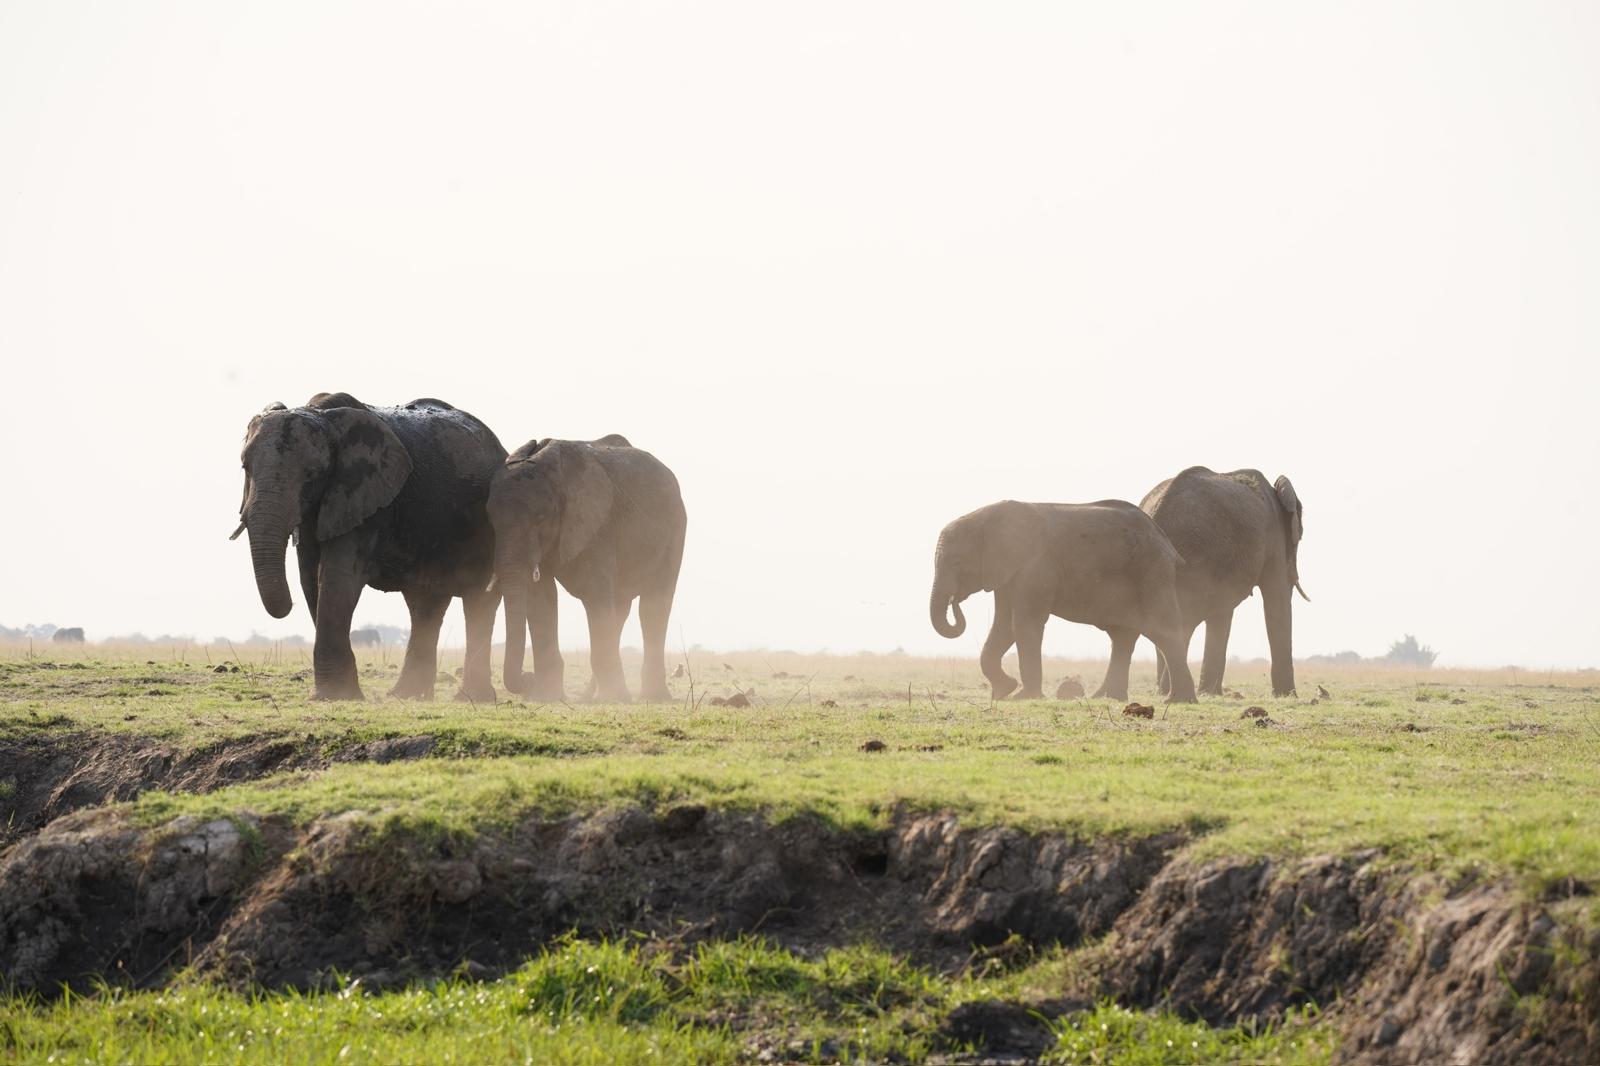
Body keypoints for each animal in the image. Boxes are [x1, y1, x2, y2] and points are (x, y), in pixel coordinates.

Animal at [232, 392, 506, 701]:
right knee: (425, 605)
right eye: (245, 467)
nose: (286, 607)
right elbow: (310, 579)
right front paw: (338, 693)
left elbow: (337, 577)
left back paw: (471, 698)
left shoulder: (366, 498)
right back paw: (407, 695)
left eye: (312, 473)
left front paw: (337, 696)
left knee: (478, 600)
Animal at [487, 435, 686, 703]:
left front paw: (615, 700)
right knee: (621, 609)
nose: (527, 680)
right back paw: (593, 695)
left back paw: (651, 697)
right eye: (490, 520)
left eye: (541, 518)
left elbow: (595, 597)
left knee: (653, 606)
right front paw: (547, 697)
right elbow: (541, 598)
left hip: (675, 528)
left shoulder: (596, 525)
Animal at [930, 499, 1197, 702]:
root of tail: (1165, 541)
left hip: (1151, 574)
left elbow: (1024, 622)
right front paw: (1003, 692)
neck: (985, 518)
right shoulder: (1008, 572)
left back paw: (1177, 701)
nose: (955, 601)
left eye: (957, 562)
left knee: (1164, 632)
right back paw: (1105, 697)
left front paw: (1023, 697)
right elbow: (1004, 625)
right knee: (1123, 638)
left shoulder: (1037, 566)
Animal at [1095, 466, 1308, 699]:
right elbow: (1276, 599)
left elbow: (1223, 612)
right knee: (1183, 621)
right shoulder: (1274, 538)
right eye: (1300, 536)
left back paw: (1166, 692)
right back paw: (1172, 692)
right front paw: (1287, 696)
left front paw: (1210, 693)